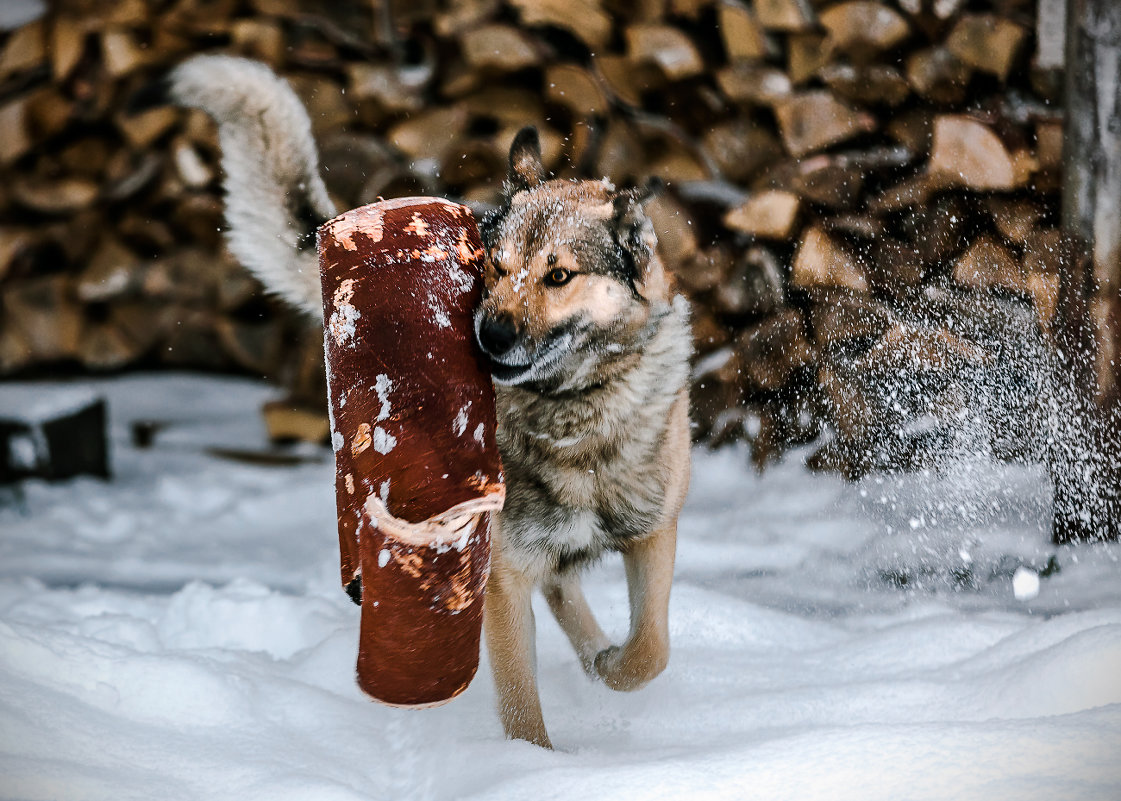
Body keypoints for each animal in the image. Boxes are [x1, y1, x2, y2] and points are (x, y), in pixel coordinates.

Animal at [164, 56, 690, 752]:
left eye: (558, 276)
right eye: (493, 267)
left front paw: (609, 667)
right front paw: (535, 763)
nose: (489, 335)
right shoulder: (500, 572)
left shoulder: (652, 533)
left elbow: (651, 649)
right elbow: (522, 703)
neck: (571, 409)